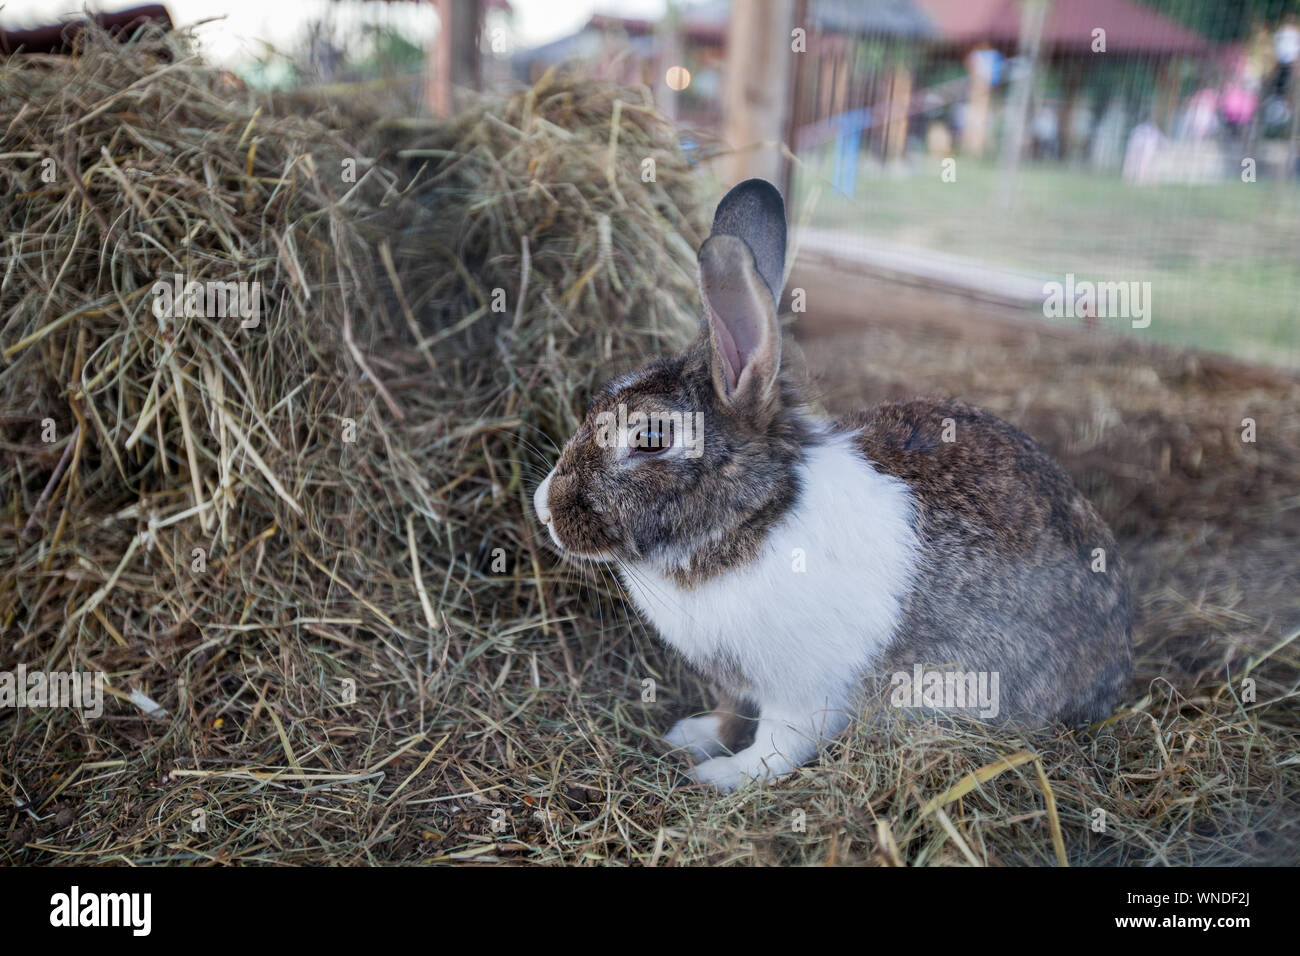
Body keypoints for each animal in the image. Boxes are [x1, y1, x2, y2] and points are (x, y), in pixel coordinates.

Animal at [533, 179, 1133, 790]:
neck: (755, 517)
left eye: (651, 438)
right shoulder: (737, 681)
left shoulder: (802, 692)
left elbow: (779, 744)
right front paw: (693, 736)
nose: (545, 509)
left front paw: (724, 776)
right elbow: (731, 711)